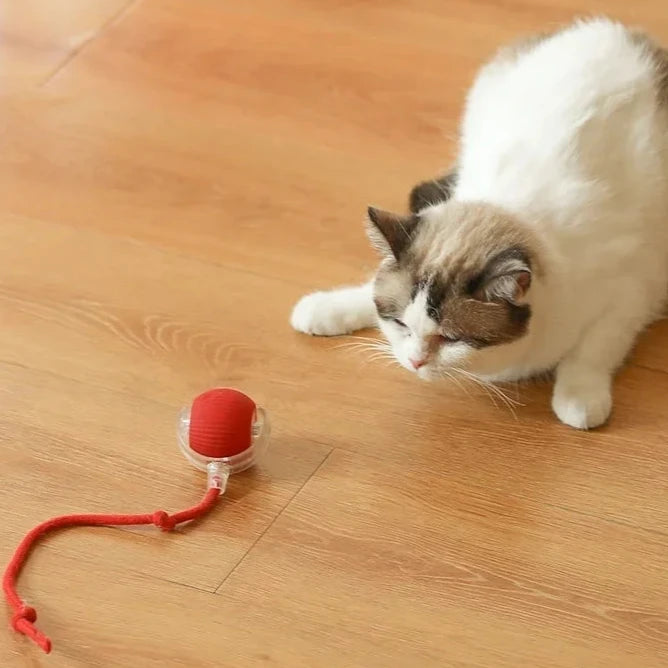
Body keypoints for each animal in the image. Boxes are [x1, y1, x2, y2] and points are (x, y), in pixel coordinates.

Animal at [290, 19, 668, 434]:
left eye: (451, 339)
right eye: (402, 325)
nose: (414, 362)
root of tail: (610, 26)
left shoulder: (630, 294)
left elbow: (592, 351)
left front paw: (579, 401)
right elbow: (364, 294)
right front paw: (323, 309)